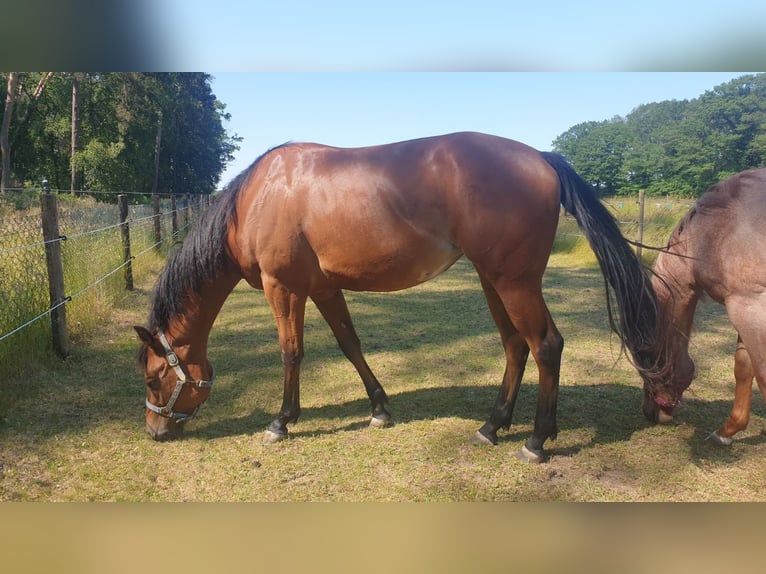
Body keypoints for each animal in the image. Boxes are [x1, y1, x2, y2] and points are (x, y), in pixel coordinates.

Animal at [134, 132, 660, 464]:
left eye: (154, 379)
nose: (154, 432)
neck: (257, 199)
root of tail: (540, 157)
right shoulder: (324, 288)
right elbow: (350, 345)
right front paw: (379, 410)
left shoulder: (283, 287)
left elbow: (291, 352)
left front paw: (282, 421)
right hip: (493, 281)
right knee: (515, 346)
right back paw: (493, 425)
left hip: (515, 283)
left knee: (546, 345)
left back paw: (535, 440)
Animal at [644, 166, 766, 446]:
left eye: (648, 360)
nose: (649, 413)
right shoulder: (744, 309)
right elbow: (743, 366)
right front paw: (727, 431)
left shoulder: (750, 307)